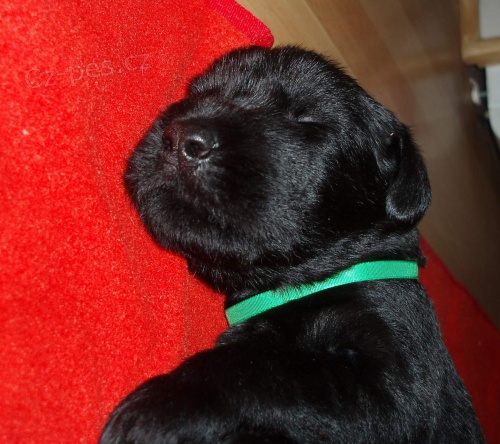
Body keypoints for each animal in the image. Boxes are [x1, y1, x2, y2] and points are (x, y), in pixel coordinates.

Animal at [100, 46, 484, 443]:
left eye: (308, 121)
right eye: (200, 92)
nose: (181, 137)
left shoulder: (393, 383)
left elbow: (261, 366)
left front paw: (158, 404)